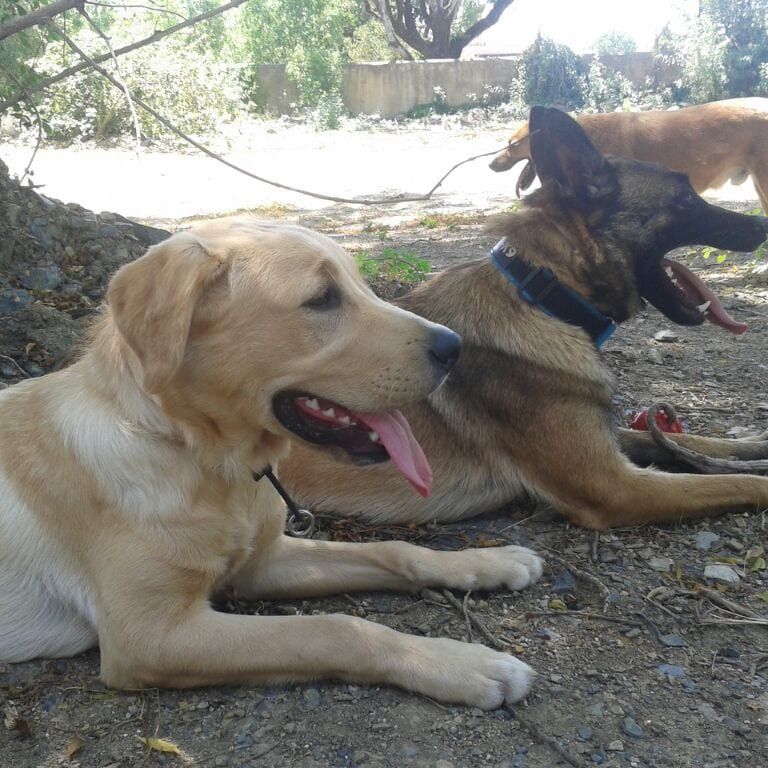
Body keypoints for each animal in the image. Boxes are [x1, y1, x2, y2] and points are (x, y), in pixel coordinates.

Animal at [0, 218, 540, 708]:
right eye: (322, 298)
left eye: (361, 286)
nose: (455, 346)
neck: (204, 459)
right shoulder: (149, 636)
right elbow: (336, 629)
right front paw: (461, 664)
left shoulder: (262, 564)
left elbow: (396, 550)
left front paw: (485, 562)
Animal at [284, 106, 768, 528]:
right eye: (684, 197)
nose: (762, 225)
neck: (543, 297)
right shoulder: (616, 485)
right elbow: (739, 483)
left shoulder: (611, 445)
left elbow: (688, 441)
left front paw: (752, 443)